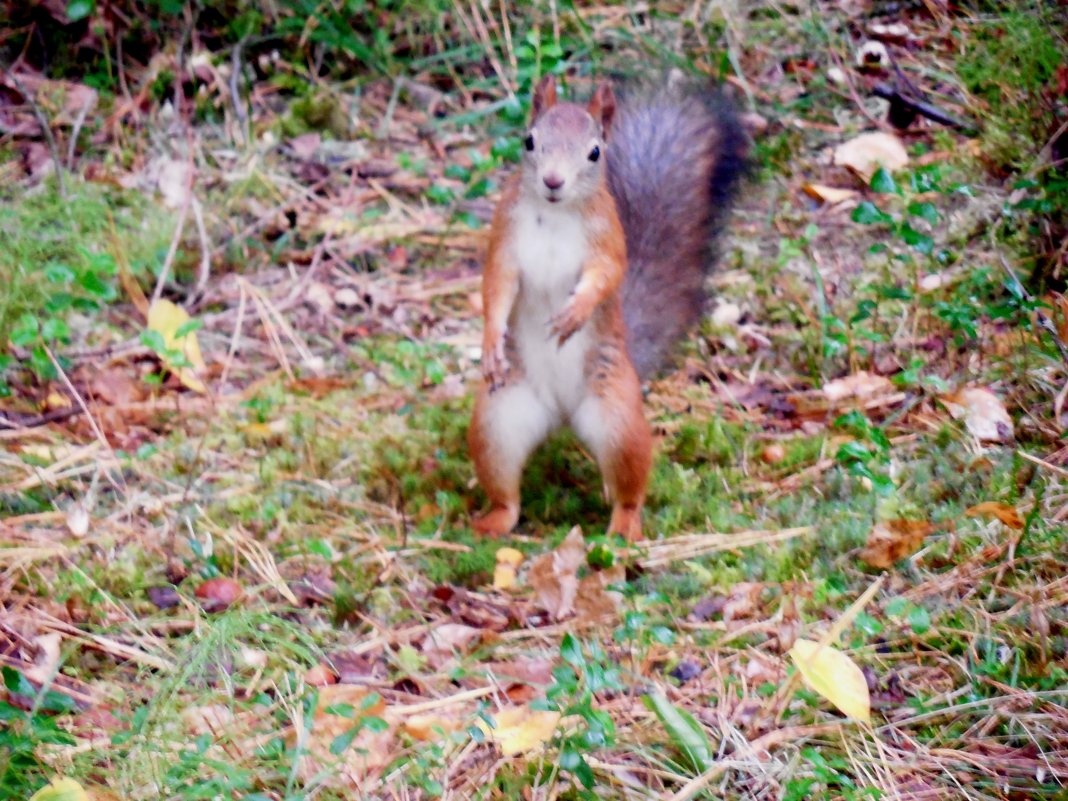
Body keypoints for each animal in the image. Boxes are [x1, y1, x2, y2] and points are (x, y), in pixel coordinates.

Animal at [467, 75, 743, 542]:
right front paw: (490, 343)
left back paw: (625, 525)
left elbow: (606, 277)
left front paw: (575, 313)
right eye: (529, 140)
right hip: (497, 423)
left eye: (595, 152)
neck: (555, 215)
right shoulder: (504, 238)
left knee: (629, 486)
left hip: (618, 422)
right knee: (507, 494)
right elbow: (497, 289)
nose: (553, 181)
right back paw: (492, 521)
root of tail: (559, 414)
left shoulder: (608, 241)